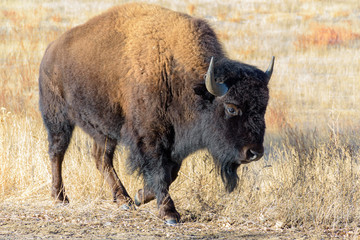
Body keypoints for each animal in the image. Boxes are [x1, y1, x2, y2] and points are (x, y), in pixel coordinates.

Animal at [39, 3, 274, 225]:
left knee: (101, 158)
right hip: (58, 118)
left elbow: (171, 173)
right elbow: (159, 171)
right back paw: (60, 197)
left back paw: (123, 199)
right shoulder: (151, 137)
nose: (254, 153)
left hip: (103, 130)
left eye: (263, 107)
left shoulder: (174, 142)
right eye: (231, 108)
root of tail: (50, 50)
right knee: (57, 153)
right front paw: (169, 213)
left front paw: (139, 196)